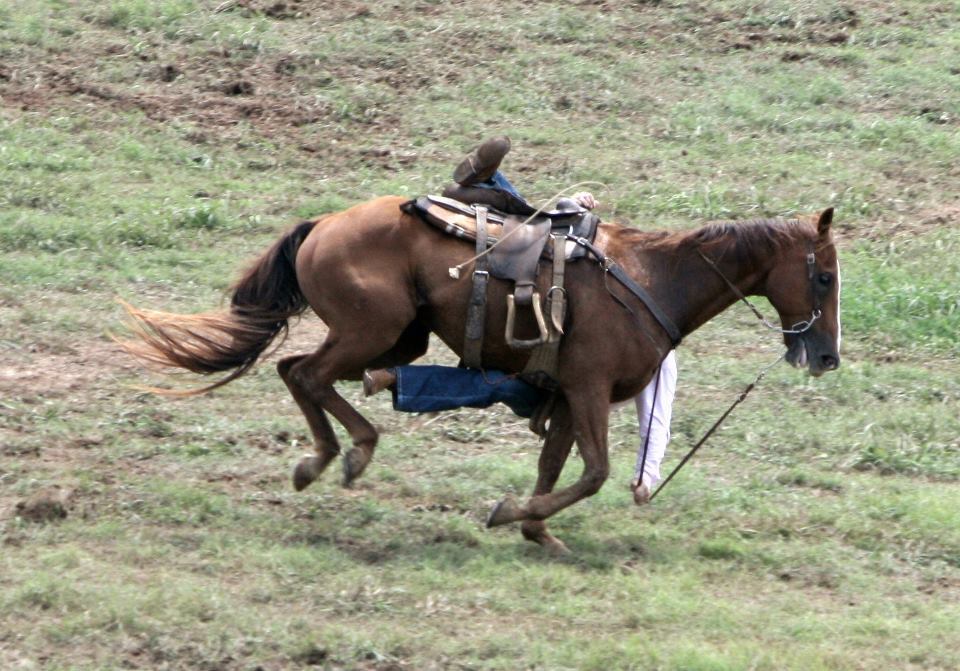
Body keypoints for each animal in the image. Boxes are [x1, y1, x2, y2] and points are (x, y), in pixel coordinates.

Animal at [118, 197, 840, 552]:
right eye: (826, 277)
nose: (828, 357)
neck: (652, 278)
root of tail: (324, 224)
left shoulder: (565, 393)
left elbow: (557, 465)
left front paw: (537, 530)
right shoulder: (588, 390)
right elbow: (595, 472)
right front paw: (512, 512)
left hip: (392, 336)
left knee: (301, 371)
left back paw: (325, 455)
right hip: (369, 332)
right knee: (307, 374)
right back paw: (342, 453)